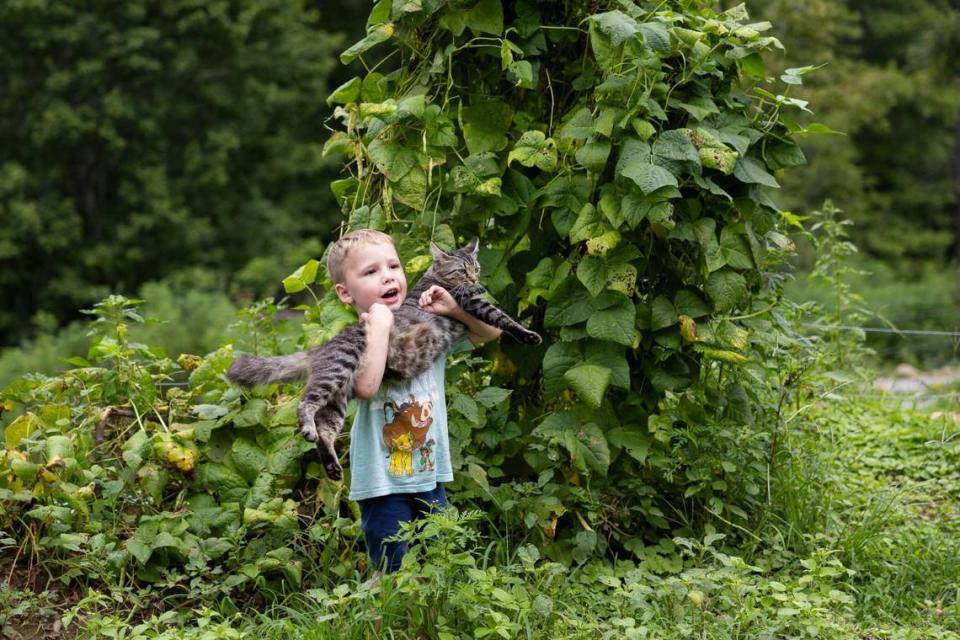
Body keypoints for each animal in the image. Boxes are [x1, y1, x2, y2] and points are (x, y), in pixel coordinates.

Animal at [226, 240, 540, 480]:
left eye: (476, 268)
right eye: (462, 271)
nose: (475, 279)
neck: (434, 278)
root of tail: (322, 348)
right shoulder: (470, 303)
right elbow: (502, 318)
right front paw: (529, 335)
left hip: (339, 398)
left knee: (326, 430)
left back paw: (333, 468)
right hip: (337, 371)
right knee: (304, 404)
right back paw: (307, 430)